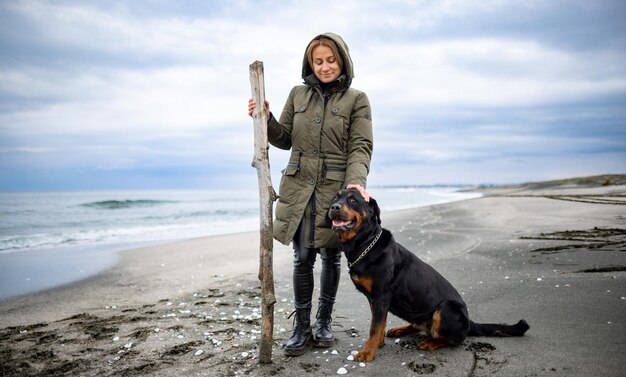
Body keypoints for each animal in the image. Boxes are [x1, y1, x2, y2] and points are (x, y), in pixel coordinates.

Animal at [326, 189, 528, 360]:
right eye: (335, 198)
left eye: (353, 200)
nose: (334, 207)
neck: (365, 244)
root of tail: (469, 322)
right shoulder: (374, 299)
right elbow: (379, 324)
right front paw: (378, 344)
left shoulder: (381, 295)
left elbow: (374, 327)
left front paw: (367, 352)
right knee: (419, 326)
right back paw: (400, 330)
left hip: (446, 308)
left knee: (453, 339)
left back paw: (431, 342)